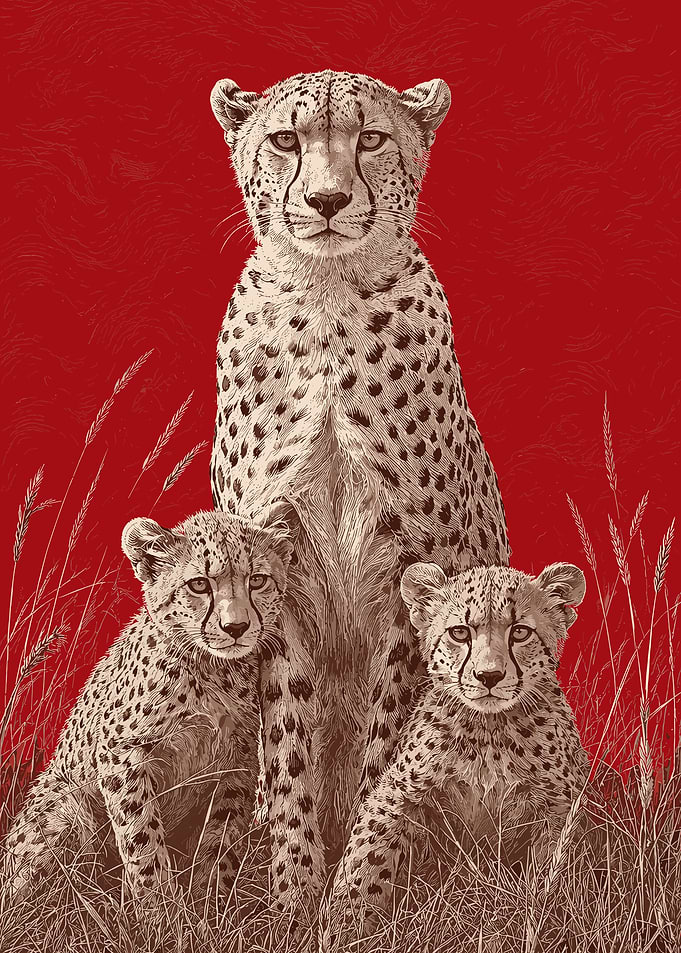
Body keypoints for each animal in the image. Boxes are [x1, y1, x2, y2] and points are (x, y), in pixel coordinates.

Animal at [2, 510, 324, 915]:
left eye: (258, 580)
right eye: (199, 585)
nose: (236, 627)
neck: (211, 668)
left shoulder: (235, 764)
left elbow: (220, 839)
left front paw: (210, 906)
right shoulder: (121, 754)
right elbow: (142, 840)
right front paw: (162, 913)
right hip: (68, 813)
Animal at [208, 69, 510, 863]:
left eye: (369, 138)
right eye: (286, 139)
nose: (327, 200)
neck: (329, 295)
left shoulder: (411, 573)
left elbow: (386, 738)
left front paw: (363, 852)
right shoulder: (271, 572)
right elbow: (288, 745)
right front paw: (294, 875)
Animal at [325, 560, 590, 942]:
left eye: (520, 632)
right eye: (460, 633)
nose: (489, 676)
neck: (489, 730)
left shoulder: (558, 808)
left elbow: (550, 874)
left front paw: (540, 920)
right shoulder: (396, 793)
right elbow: (367, 856)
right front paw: (347, 928)